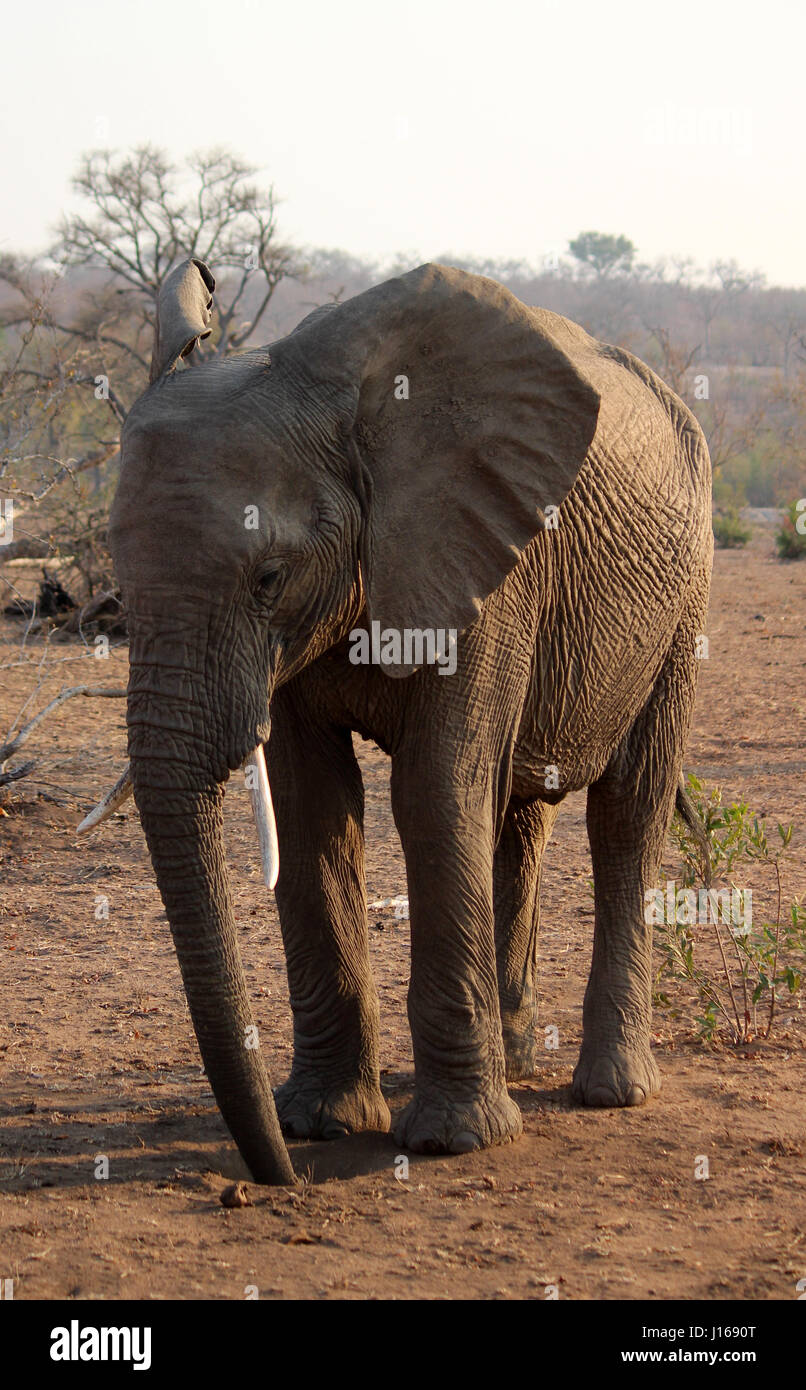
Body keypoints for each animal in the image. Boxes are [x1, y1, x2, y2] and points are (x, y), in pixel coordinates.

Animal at [81, 258, 712, 1184]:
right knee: (519, 810)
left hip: (685, 598)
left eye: (270, 576)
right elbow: (312, 808)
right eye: (119, 582)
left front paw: (452, 1141)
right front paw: (319, 1122)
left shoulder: (486, 559)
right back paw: (512, 1058)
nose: (275, 1179)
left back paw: (612, 1091)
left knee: (628, 810)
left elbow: (434, 792)